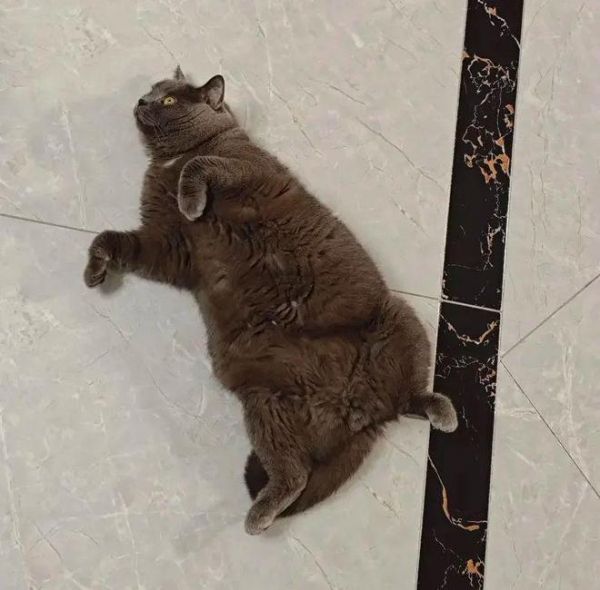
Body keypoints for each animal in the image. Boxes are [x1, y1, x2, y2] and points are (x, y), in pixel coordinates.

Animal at [83, 67, 458, 535]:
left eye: (168, 100)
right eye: (151, 93)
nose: (141, 101)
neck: (167, 160)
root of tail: (360, 412)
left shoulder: (247, 170)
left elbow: (200, 164)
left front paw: (191, 200)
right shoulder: (168, 247)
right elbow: (111, 239)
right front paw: (95, 270)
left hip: (398, 318)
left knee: (411, 397)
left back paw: (443, 413)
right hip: (265, 406)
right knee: (295, 473)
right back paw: (260, 513)